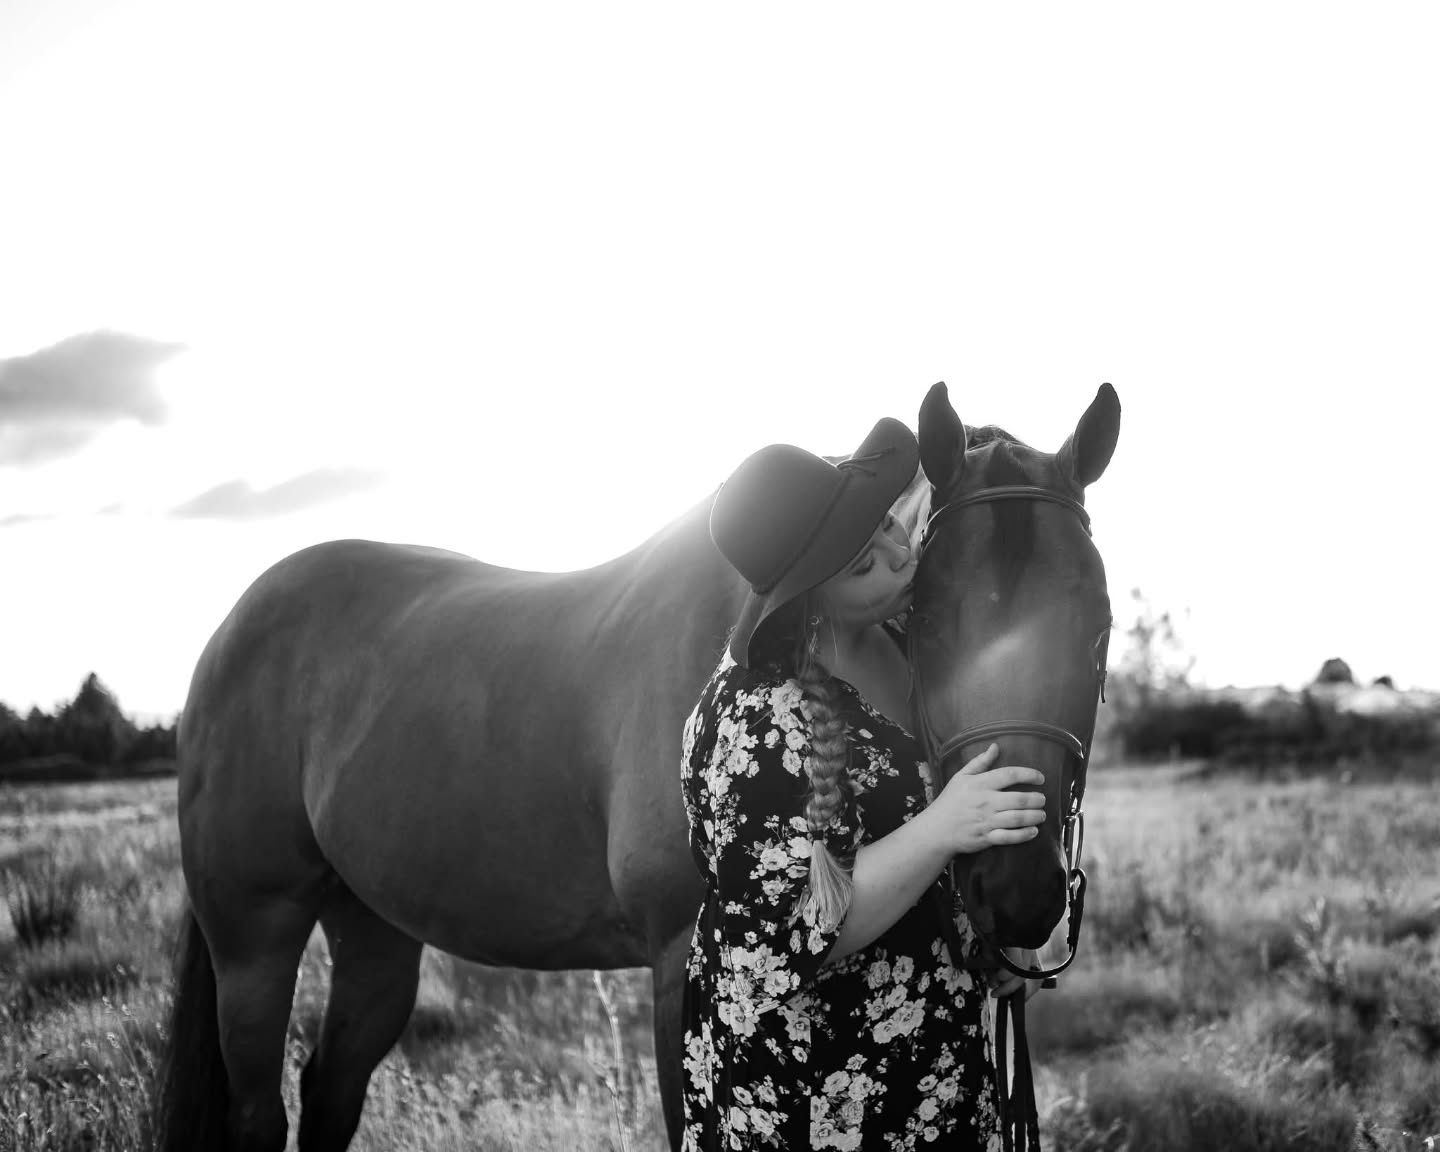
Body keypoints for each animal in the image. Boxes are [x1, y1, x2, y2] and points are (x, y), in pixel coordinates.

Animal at [154, 381, 1119, 1152]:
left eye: (1101, 626)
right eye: (927, 619)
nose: (1017, 889)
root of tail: (232, 629)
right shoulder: (676, 970)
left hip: (373, 931)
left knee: (331, 1090)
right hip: (255, 938)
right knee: (260, 1112)